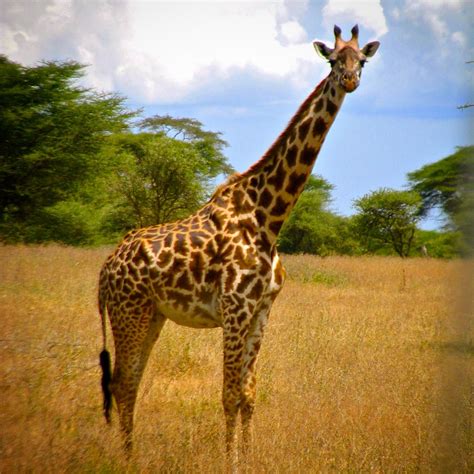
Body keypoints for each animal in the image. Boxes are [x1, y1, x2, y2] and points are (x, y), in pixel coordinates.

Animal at [98, 25, 380, 462]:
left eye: (361, 60)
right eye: (333, 60)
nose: (350, 80)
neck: (268, 217)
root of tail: (105, 268)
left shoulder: (262, 310)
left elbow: (248, 394)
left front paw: (247, 456)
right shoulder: (234, 308)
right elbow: (229, 394)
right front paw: (229, 460)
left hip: (152, 315)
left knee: (131, 380)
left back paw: (132, 453)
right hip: (128, 311)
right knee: (122, 382)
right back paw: (126, 458)